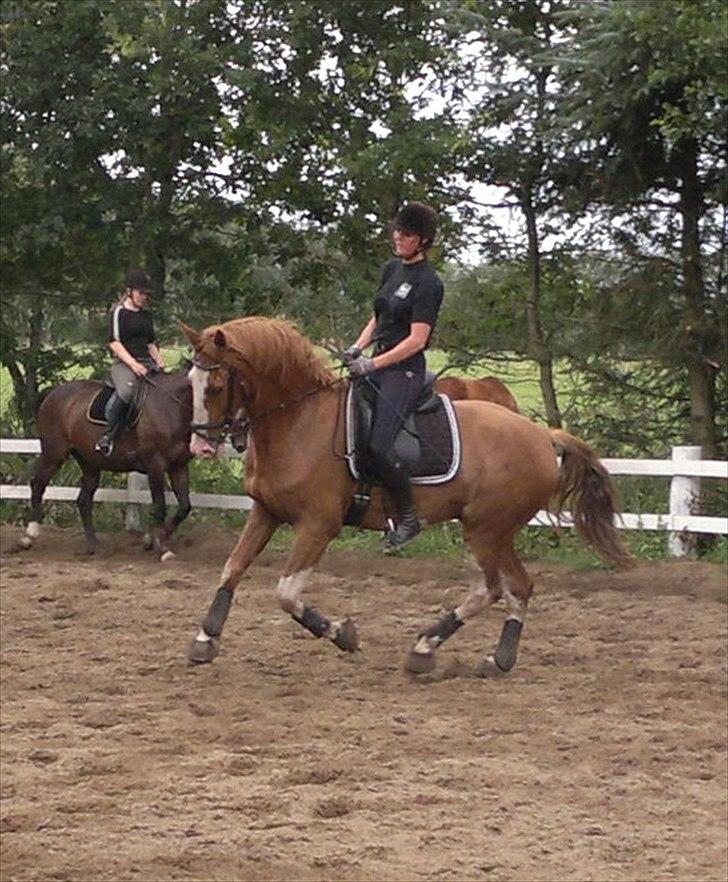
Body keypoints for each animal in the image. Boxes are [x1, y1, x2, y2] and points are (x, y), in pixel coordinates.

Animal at [20, 368, 193, 560]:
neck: (171, 406)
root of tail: (52, 393)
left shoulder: (178, 466)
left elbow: (184, 507)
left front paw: (152, 539)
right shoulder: (155, 465)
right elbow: (161, 506)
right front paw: (161, 547)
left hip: (89, 462)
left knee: (83, 501)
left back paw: (94, 545)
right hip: (54, 454)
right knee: (38, 484)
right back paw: (29, 536)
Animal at [183, 316, 632, 672]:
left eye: (217, 383)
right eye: (190, 381)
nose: (200, 446)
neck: (299, 421)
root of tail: (542, 435)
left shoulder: (318, 526)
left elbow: (286, 594)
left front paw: (342, 634)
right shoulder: (265, 512)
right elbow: (232, 569)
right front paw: (206, 639)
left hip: (486, 530)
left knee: (493, 588)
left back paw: (426, 647)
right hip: (493, 532)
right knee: (516, 587)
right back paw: (495, 658)